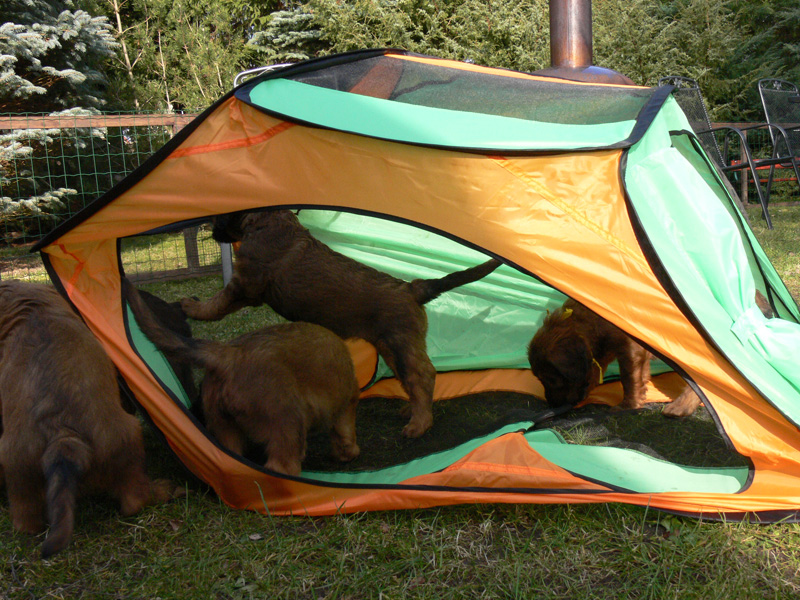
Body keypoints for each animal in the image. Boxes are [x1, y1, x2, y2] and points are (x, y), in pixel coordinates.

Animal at [0, 280, 182, 558]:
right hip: (130, 437)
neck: (30, 310)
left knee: (26, 522)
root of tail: (63, 435)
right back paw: (165, 489)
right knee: (134, 500)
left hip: (17, 469)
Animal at [124, 278, 361, 476]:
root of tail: (229, 355)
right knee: (282, 466)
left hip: (224, 427)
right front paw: (348, 454)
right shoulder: (346, 406)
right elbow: (346, 437)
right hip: (288, 422)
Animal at [180, 209, 501, 438]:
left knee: (422, 377)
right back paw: (410, 411)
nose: (210, 231)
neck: (265, 220)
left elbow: (216, 304)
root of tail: (413, 288)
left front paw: (191, 306)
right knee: (414, 379)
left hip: (400, 344)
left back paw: (419, 424)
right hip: (392, 347)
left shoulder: (244, 285)